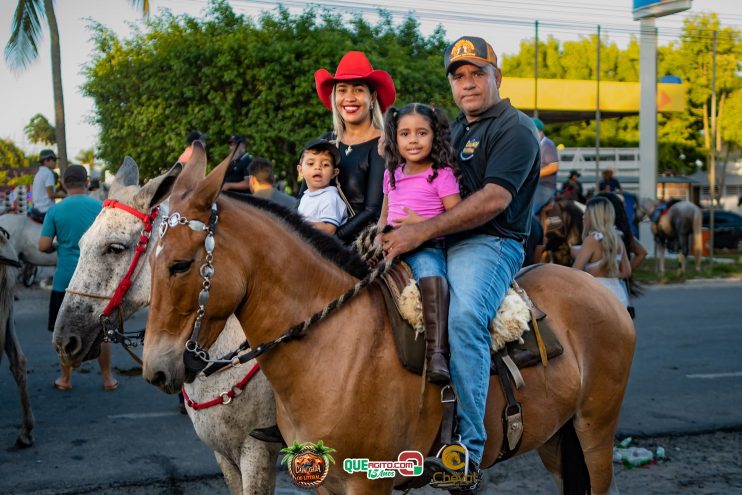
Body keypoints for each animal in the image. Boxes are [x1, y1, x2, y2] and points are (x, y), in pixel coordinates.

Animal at [142, 144, 636, 495]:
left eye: (181, 265)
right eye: (149, 259)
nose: (157, 369)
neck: (334, 346)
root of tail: (602, 293)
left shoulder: (366, 482)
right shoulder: (323, 481)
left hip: (594, 432)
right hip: (556, 437)